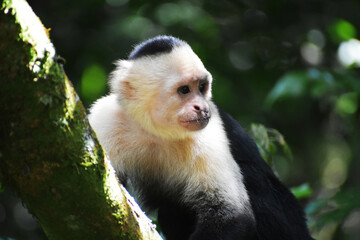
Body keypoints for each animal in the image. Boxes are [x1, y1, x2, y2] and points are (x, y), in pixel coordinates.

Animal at [88, 36, 312, 240]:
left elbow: (232, 216)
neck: (157, 131)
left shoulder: (209, 131)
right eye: (184, 90)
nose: (201, 107)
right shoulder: (106, 120)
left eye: (202, 87)